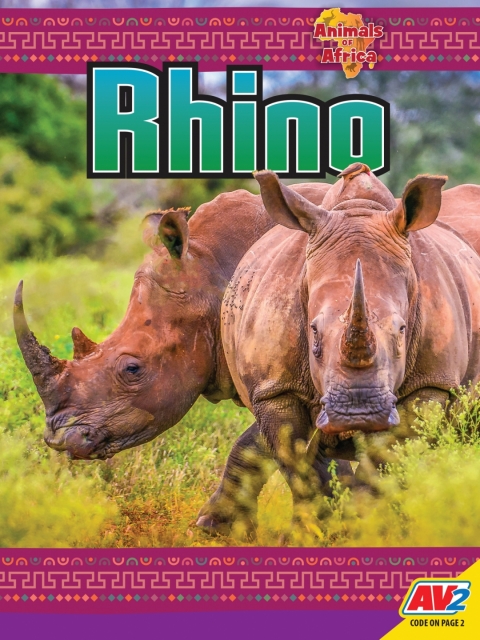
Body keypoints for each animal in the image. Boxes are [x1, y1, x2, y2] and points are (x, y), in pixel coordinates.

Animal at [197, 165, 480, 531]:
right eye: (313, 332)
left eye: (402, 330)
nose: (358, 414)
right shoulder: (276, 388)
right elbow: (300, 464)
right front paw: (317, 531)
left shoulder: (432, 383)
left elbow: (385, 465)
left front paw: (361, 526)